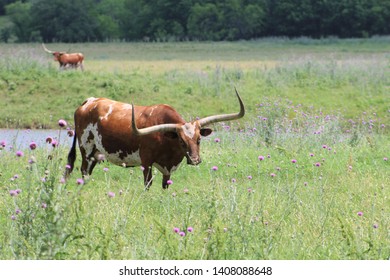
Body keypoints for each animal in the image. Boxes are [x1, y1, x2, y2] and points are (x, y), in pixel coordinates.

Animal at [65, 88, 245, 189]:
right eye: (182, 141)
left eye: (199, 139)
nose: (195, 160)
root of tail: (88, 102)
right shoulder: (146, 162)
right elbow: (148, 184)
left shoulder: (168, 169)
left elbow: (165, 185)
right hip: (86, 149)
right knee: (83, 171)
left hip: (96, 153)